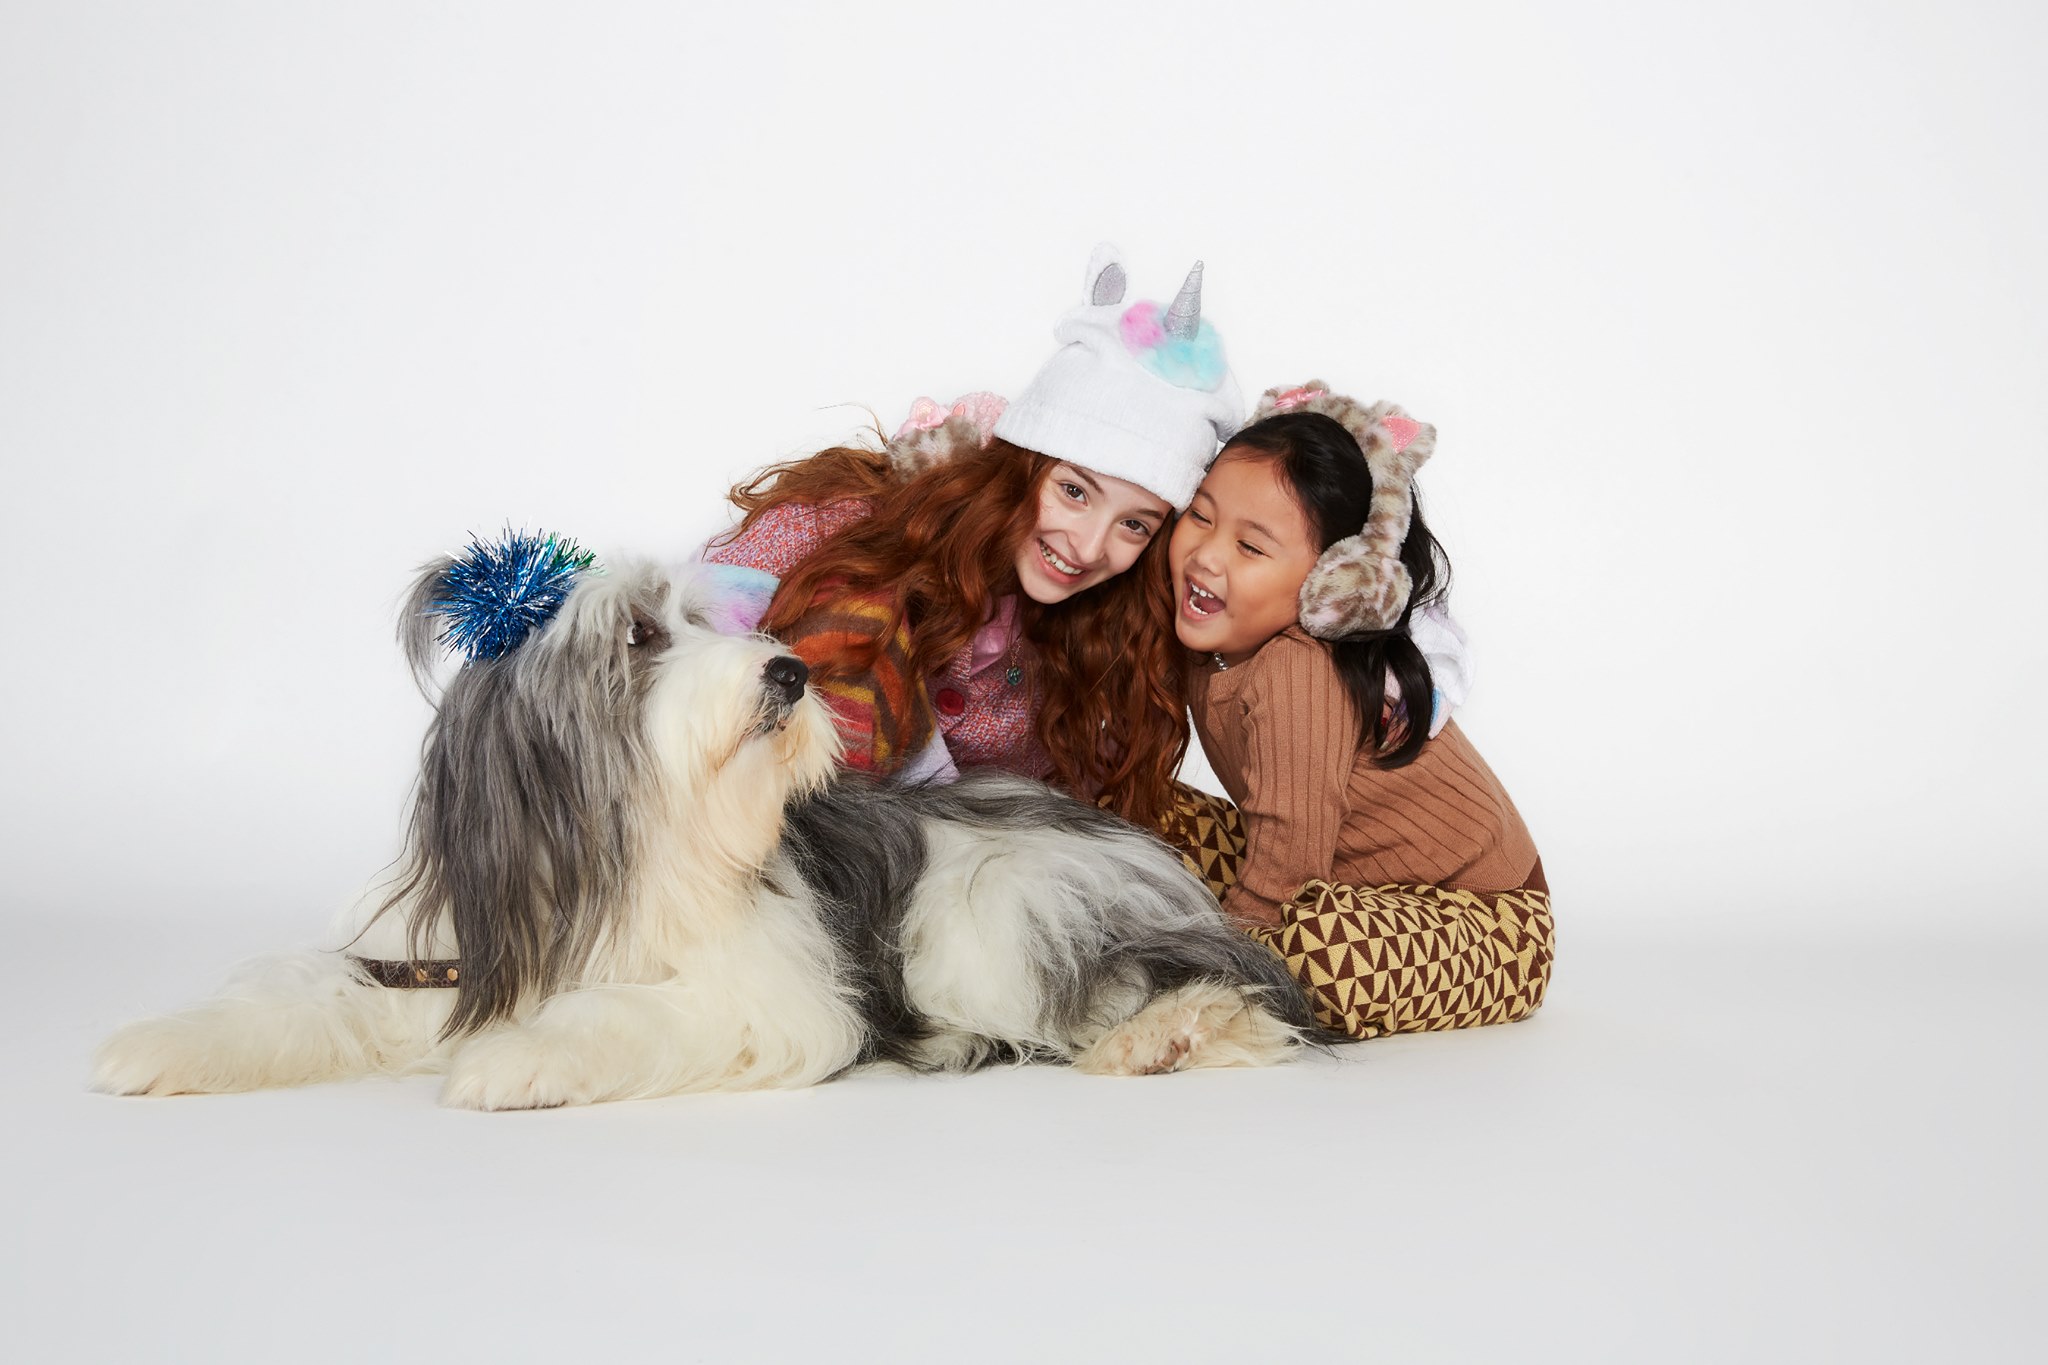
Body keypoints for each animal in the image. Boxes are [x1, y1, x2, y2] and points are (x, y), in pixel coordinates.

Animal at [93, 551, 1317, 1108]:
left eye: (704, 618)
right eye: (639, 636)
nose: (787, 671)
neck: (618, 855)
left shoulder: (772, 991)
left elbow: (624, 1014)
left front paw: (517, 1059)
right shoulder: (441, 953)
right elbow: (303, 998)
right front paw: (162, 1043)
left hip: (996, 908)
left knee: (1208, 996)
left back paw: (1164, 1035)